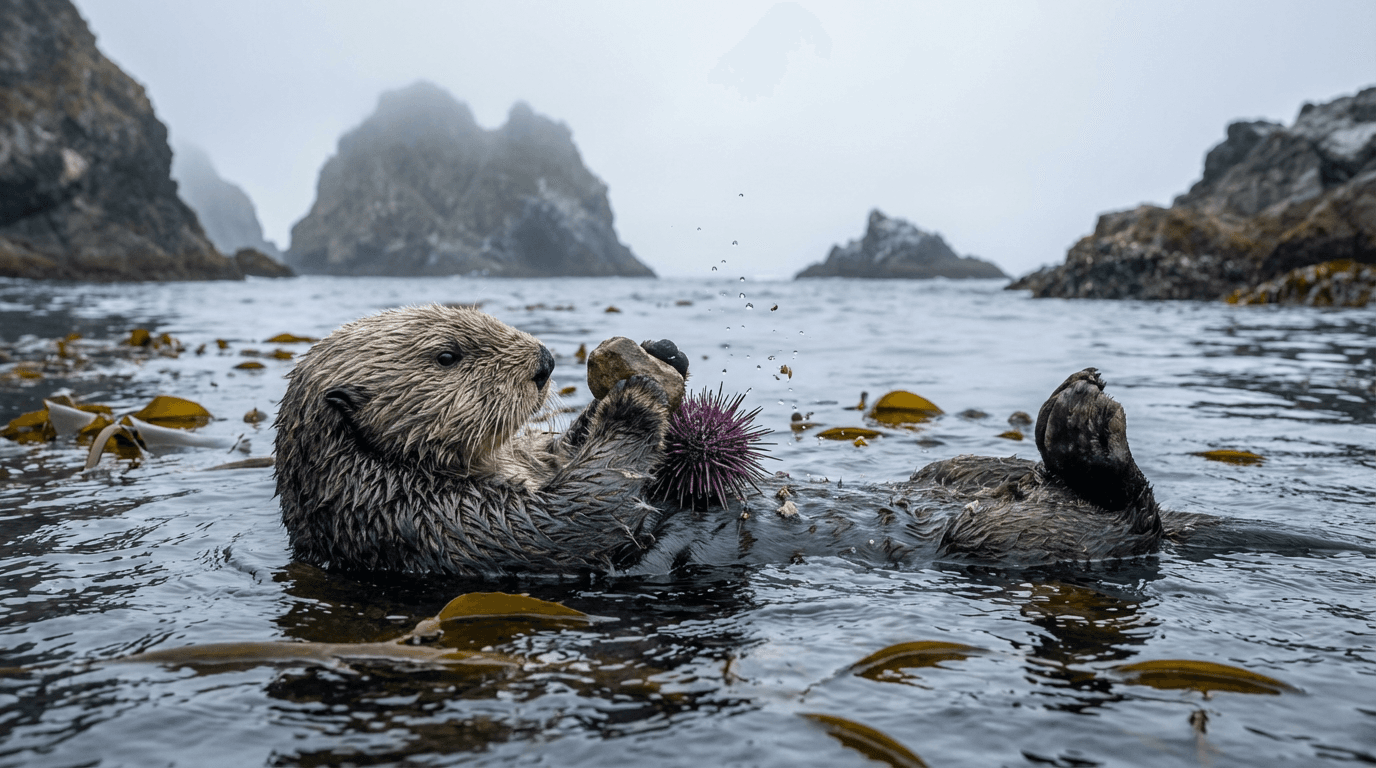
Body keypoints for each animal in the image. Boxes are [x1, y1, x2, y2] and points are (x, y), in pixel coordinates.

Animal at [275, 305, 1168, 575]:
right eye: (449, 355)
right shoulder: (442, 527)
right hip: (1001, 536)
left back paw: (1072, 405)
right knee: (1127, 512)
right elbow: (573, 519)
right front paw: (638, 397)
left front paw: (656, 357)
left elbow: (575, 456)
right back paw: (1086, 422)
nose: (543, 360)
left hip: (954, 472)